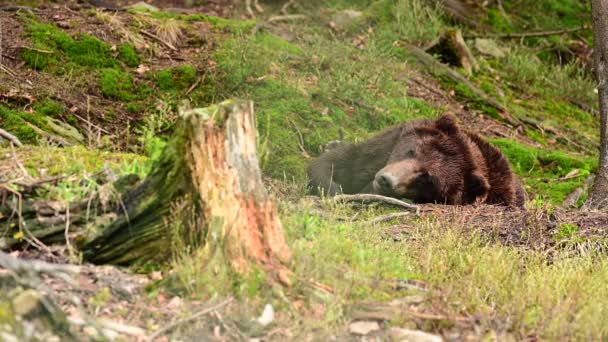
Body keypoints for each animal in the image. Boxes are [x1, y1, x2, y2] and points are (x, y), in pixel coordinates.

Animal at [306, 113, 524, 207]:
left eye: (427, 177)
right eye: (412, 151)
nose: (386, 180)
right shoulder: (377, 152)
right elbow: (336, 162)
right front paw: (334, 188)